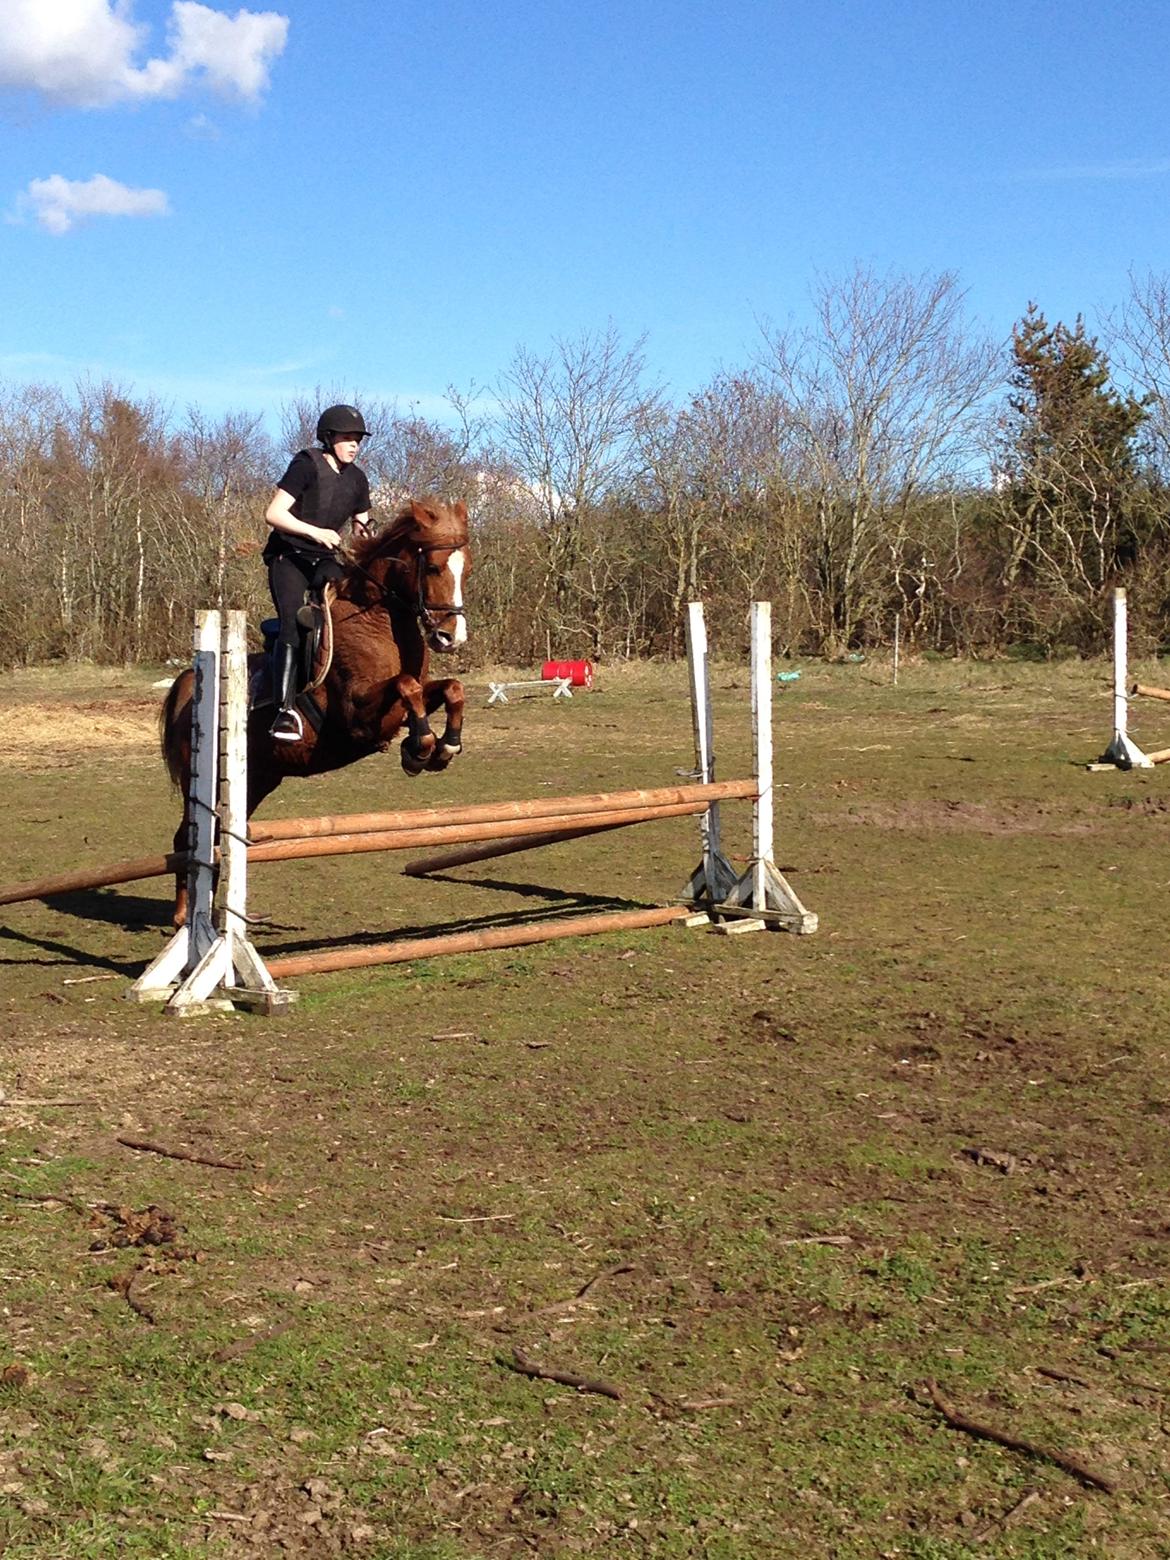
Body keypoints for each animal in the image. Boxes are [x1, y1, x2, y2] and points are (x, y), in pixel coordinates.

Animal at [161, 499, 471, 923]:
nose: (450, 638)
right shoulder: (358, 718)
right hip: (205, 780)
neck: (377, 619)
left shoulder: (407, 699)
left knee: (216, 838)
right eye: (436, 567)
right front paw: (420, 746)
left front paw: (444, 746)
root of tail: (189, 683)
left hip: (258, 779)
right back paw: (184, 916)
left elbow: (449, 689)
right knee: (188, 838)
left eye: (466, 568)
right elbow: (407, 687)